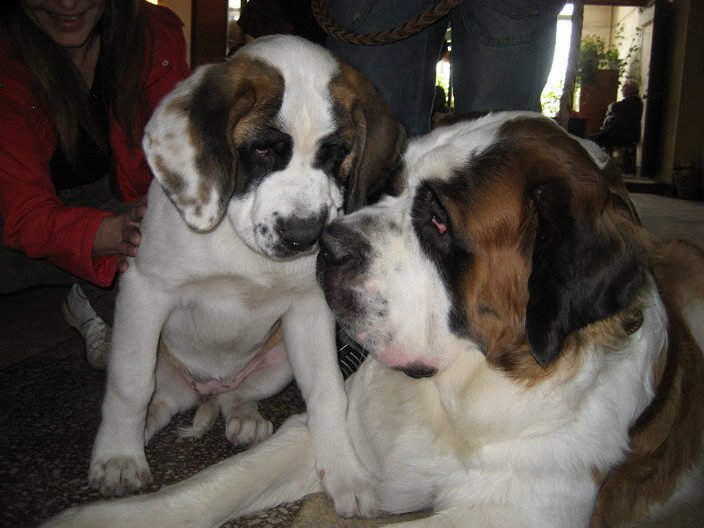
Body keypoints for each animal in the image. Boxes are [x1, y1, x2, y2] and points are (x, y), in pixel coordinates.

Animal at [45, 113, 703, 528]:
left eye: (438, 220)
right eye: (393, 185)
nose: (328, 247)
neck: (457, 399)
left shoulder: (513, 512)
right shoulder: (335, 435)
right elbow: (210, 487)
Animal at [85, 34, 405, 518]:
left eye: (335, 153)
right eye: (262, 150)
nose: (304, 235)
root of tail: (207, 387)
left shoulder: (309, 314)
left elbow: (328, 393)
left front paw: (343, 469)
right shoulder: (144, 291)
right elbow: (129, 383)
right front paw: (119, 457)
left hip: (279, 361)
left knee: (234, 394)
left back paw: (242, 416)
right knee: (159, 397)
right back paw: (143, 429)